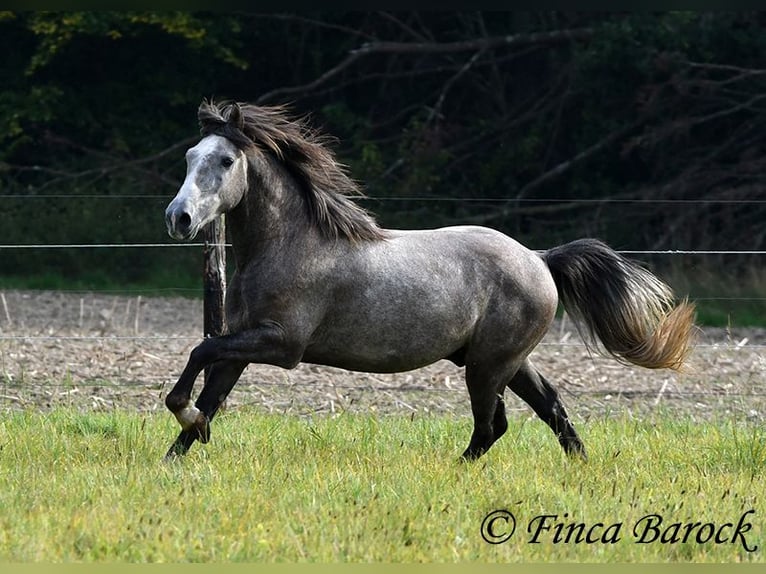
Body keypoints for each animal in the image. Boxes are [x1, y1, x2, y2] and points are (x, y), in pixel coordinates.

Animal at [165, 101, 700, 464]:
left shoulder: (281, 344)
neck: (290, 244)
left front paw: (184, 418)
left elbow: (200, 354)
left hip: (487, 365)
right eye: (190, 156)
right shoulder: (245, 341)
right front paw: (178, 454)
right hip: (504, 360)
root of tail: (540, 259)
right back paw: (581, 466)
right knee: (548, 407)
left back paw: (457, 471)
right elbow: (211, 391)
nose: (179, 218)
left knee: (492, 424)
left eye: (226, 161)